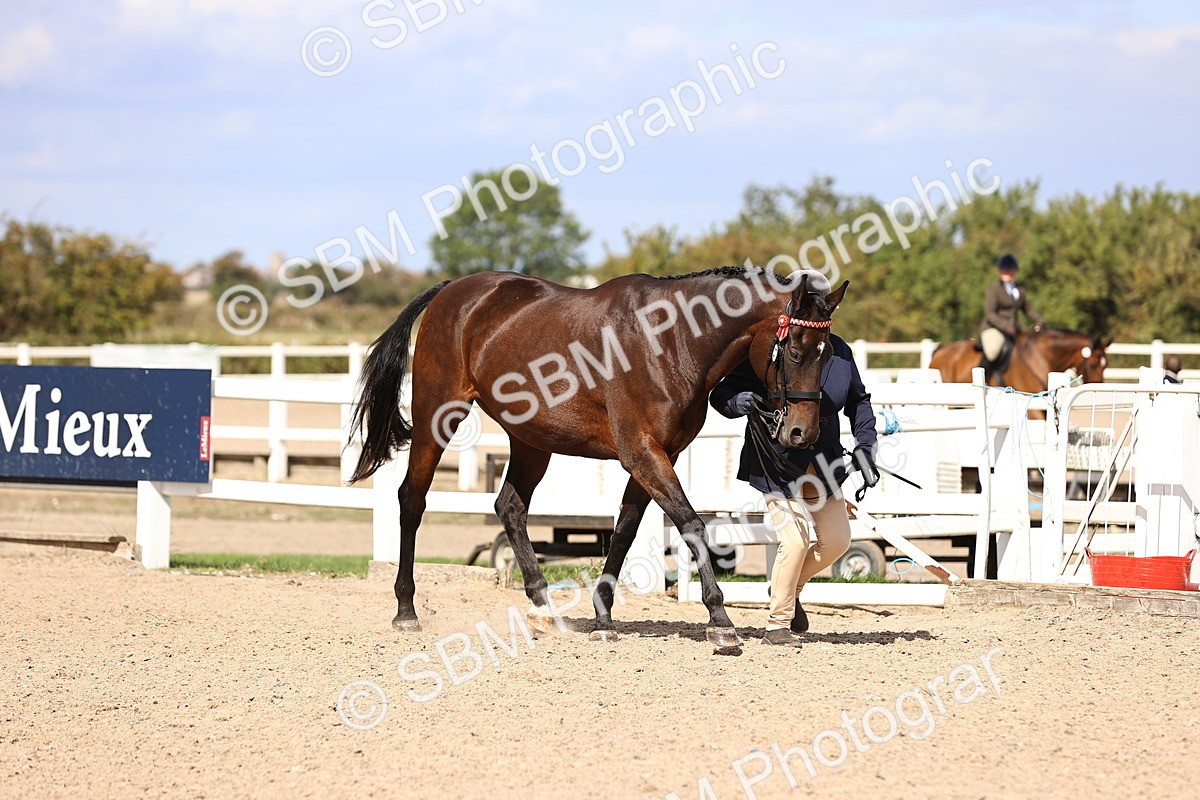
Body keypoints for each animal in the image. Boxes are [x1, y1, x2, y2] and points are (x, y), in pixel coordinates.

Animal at [349, 267, 849, 649]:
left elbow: (625, 531)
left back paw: (546, 609)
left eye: (827, 357)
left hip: (532, 441)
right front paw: (720, 622)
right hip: (438, 415)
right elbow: (691, 525)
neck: (672, 339)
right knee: (412, 499)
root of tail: (453, 291)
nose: (802, 433)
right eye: (796, 351)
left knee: (509, 507)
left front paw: (603, 617)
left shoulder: (657, 456)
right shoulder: (642, 452)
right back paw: (406, 609)